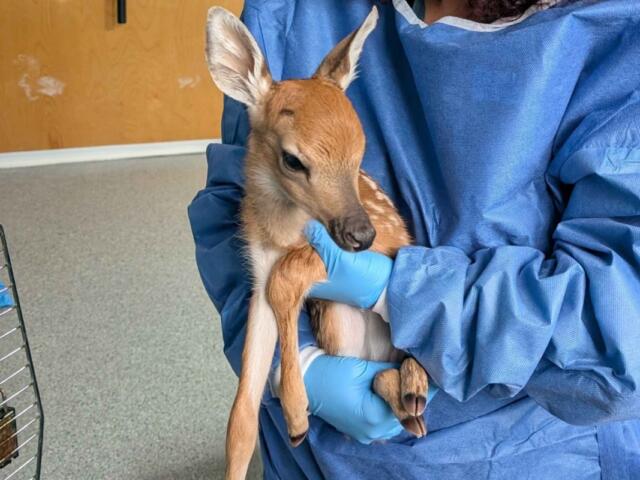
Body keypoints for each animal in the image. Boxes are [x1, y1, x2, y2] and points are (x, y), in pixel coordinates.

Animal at [204, 6, 429, 480]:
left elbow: (288, 277)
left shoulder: (379, 241)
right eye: (293, 159)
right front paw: (291, 415)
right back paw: (404, 403)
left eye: (362, 151)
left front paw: (295, 415)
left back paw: (414, 388)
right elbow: (242, 414)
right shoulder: (258, 270)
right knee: (373, 371)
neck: (281, 231)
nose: (361, 234)